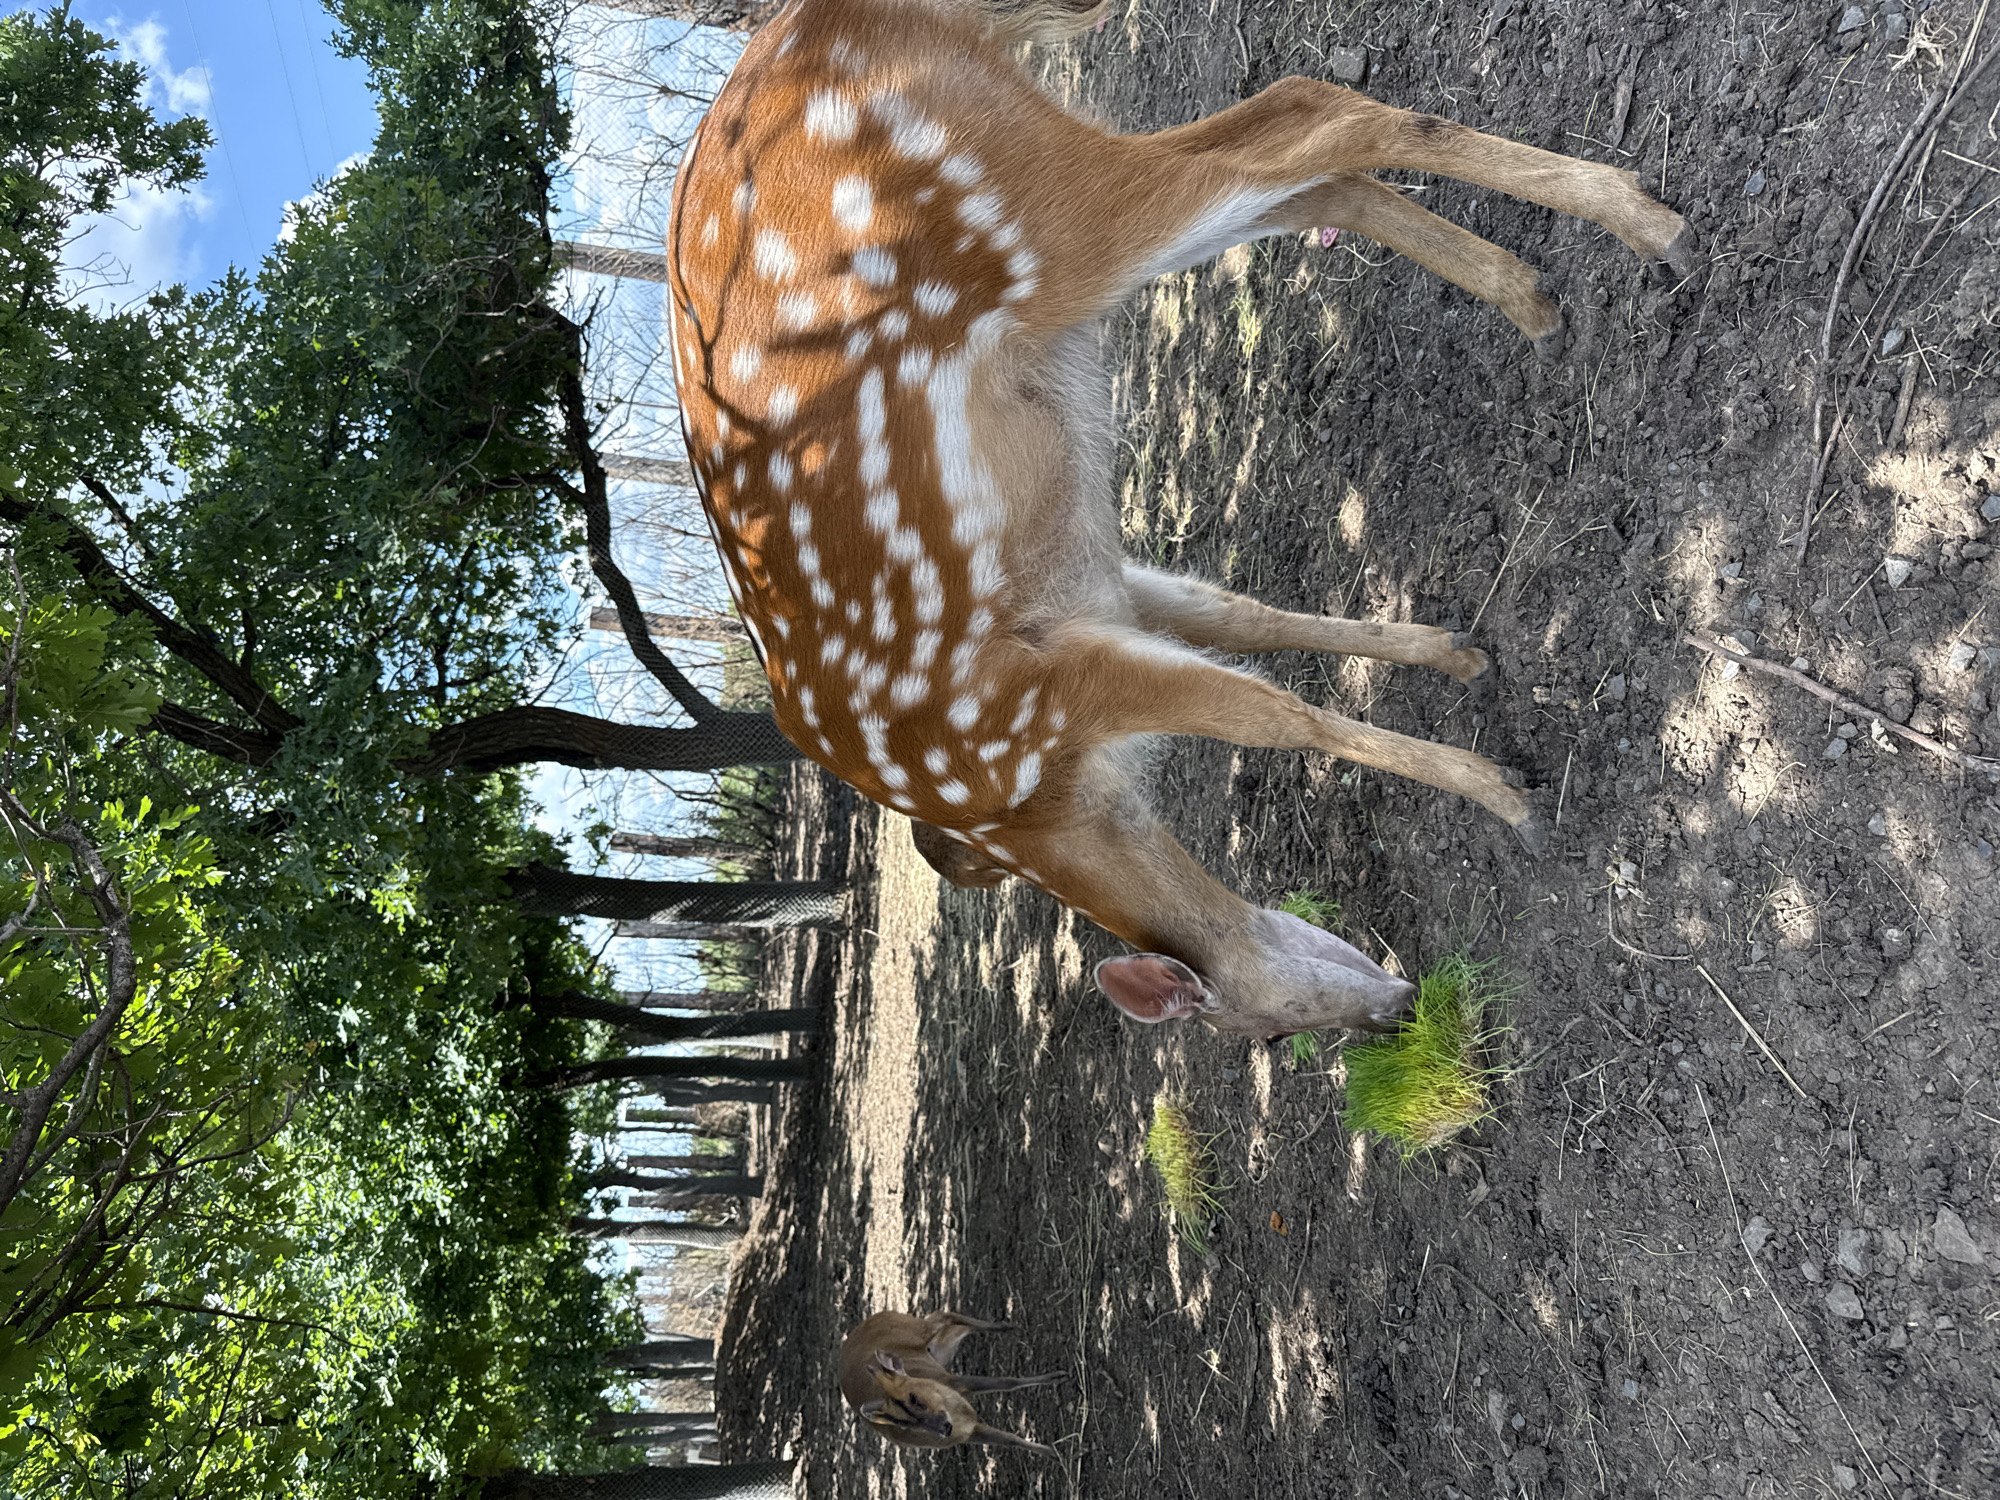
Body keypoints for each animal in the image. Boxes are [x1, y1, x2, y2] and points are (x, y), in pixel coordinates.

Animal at [665, 0, 1696, 1039]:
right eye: (1274, 1034)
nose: (1398, 1013)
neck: (1042, 798)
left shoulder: (1044, 692)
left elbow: (1276, 718)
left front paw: (1507, 796)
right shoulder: (1094, 595)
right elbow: (1248, 622)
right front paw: (1454, 654)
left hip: (1033, 210)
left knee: (1307, 114)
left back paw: (1653, 224)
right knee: (1306, 177)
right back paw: (1535, 296)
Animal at [838, 1310, 1061, 1454]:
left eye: (915, 1398)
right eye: (902, 1423)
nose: (944, 1428)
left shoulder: (956, 1380)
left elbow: (1007, 1381)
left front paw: (1058, 1375)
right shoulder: (968, 1432)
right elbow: (1011, 1440)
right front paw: (1054, 1453)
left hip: (920, 1330)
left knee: (943, 1315)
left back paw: (1007, 1326)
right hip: (941, 1351)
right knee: (952, 1325)